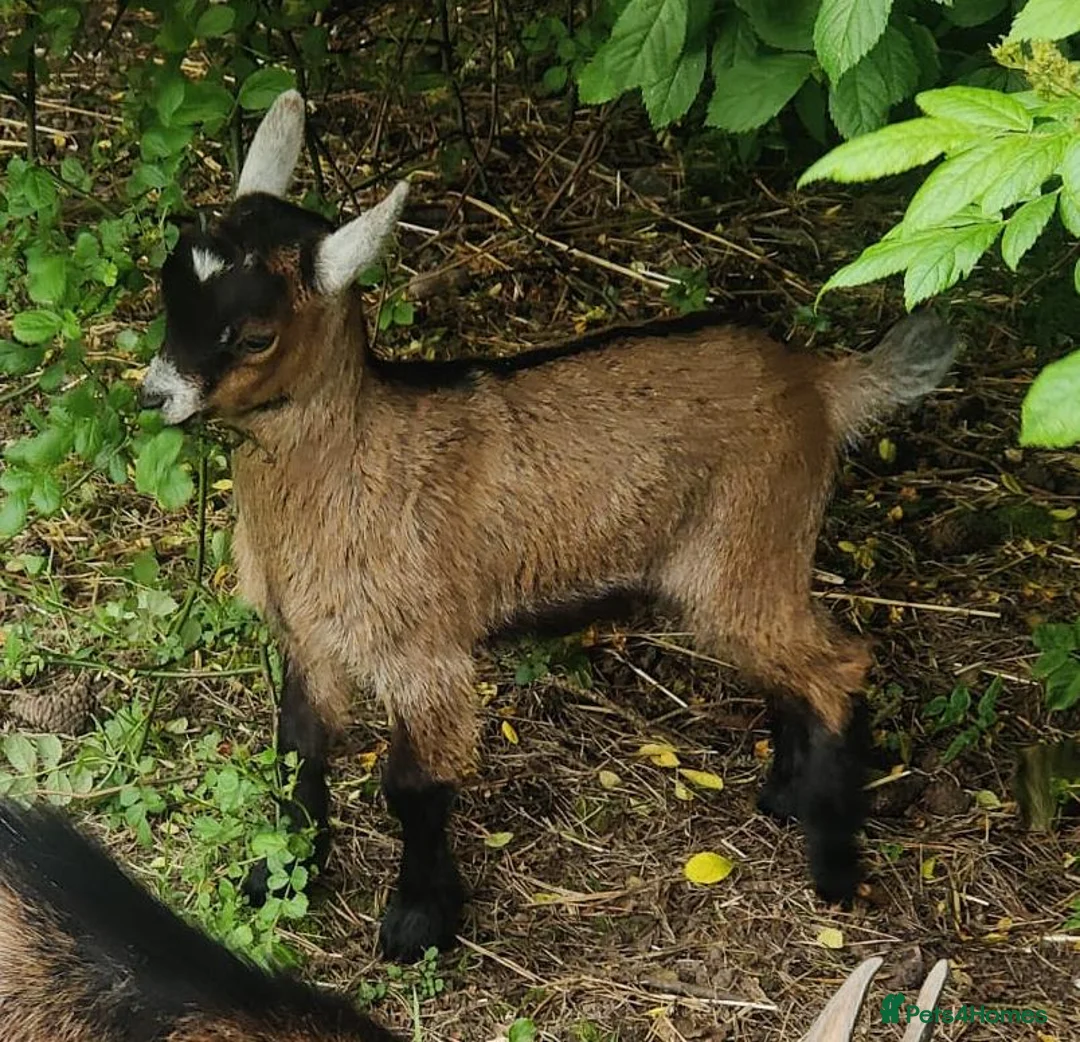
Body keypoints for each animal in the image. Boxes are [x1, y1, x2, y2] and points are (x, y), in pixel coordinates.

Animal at [139, 90, 957, 962]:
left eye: (254, 335)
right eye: (168, 293)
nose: (155, 395)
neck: (357, 461)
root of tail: (821, 382)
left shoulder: (423, 651)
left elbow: (414, 789)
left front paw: (418, 924)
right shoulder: (309, 637)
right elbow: (299, 754)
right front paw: (274, 882)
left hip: (750, 540)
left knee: (838, 665)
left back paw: (833, 866)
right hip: (747, 563)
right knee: (791, 666)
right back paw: (783, 798)